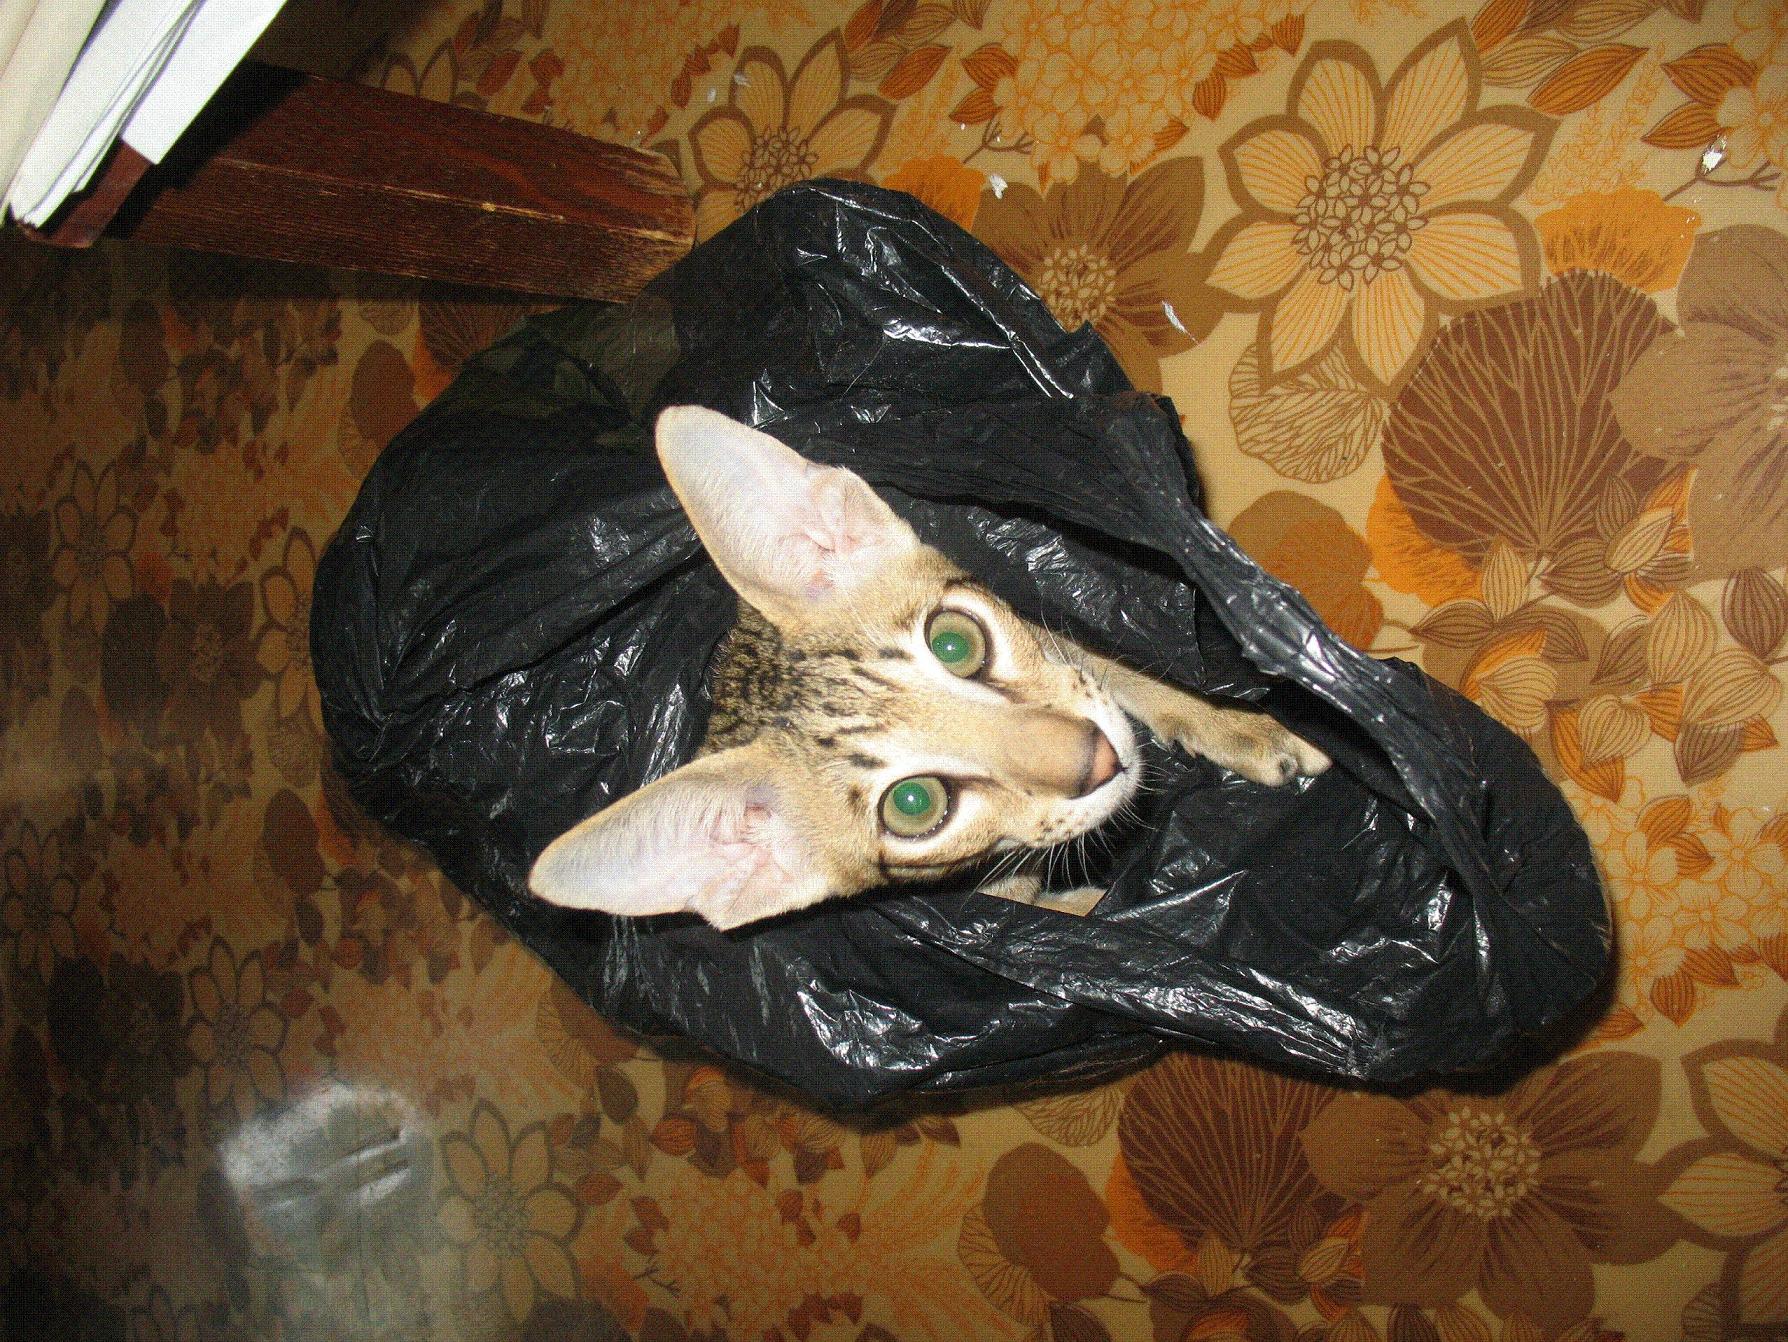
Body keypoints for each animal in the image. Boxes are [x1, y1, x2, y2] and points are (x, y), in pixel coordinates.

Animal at [527, 406, 1330, 930]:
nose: (1099, 761)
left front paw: (1241, 728)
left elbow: (1111, 670)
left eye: (954, 644)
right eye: (914, 805)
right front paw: (1099, 912)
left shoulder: (1052, 640)